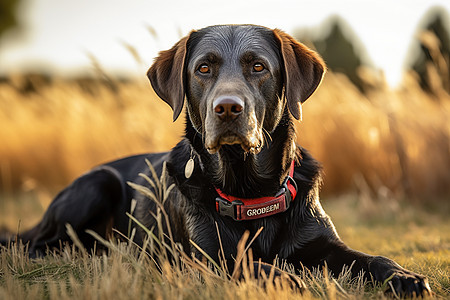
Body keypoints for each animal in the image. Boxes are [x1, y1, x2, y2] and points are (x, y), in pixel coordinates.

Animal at [5, 24, 430, 296]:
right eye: (203, 68)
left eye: (258, 66)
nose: (227, 107)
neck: (251, 189)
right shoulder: (205, 259)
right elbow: (249, 264)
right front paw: (283, 278)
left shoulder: (324, 245)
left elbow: (372, 258)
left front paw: (404, 277)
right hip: (98, 184)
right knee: (36, 247)